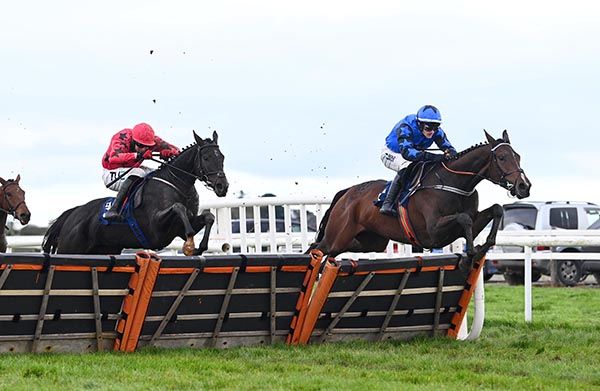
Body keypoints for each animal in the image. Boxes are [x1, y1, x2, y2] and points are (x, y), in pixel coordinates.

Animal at [42, 130, 229, 256]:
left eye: (222, 157)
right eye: (206, 158)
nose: (222, 186)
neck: (176, 182)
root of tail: (73, 214)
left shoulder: (178, 229)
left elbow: (208, 217)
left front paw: (199, 247)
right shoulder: (156, 228)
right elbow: (178, 207)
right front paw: (190, 243)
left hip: (103, 249)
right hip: (70, 249)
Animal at [312, 131, 532, 266]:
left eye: (518, 156)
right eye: (502, 157)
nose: (524, 186)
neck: (453, 182)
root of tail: (347, 193)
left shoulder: (468, 224)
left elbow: (496, 209)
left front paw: (480, 248)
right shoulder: (433, 231)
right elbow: (464, 218)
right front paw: (470, 253)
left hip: (371, 242)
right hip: (337, 237)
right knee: (320, 249)